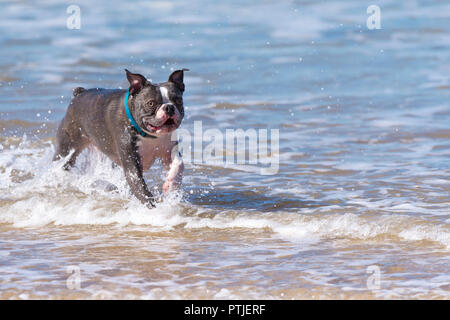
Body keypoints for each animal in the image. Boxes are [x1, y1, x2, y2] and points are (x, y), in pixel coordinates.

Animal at [53, 69, 188, 208]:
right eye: (151, 103)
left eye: (178, 101)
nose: (169, 107)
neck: (149, 135)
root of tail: (80, 93)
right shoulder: (132, 166)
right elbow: (141, 189)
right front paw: (152, 206)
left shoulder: (168, 152)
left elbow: (179, 164)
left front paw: (172, 184)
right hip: (67, 148)